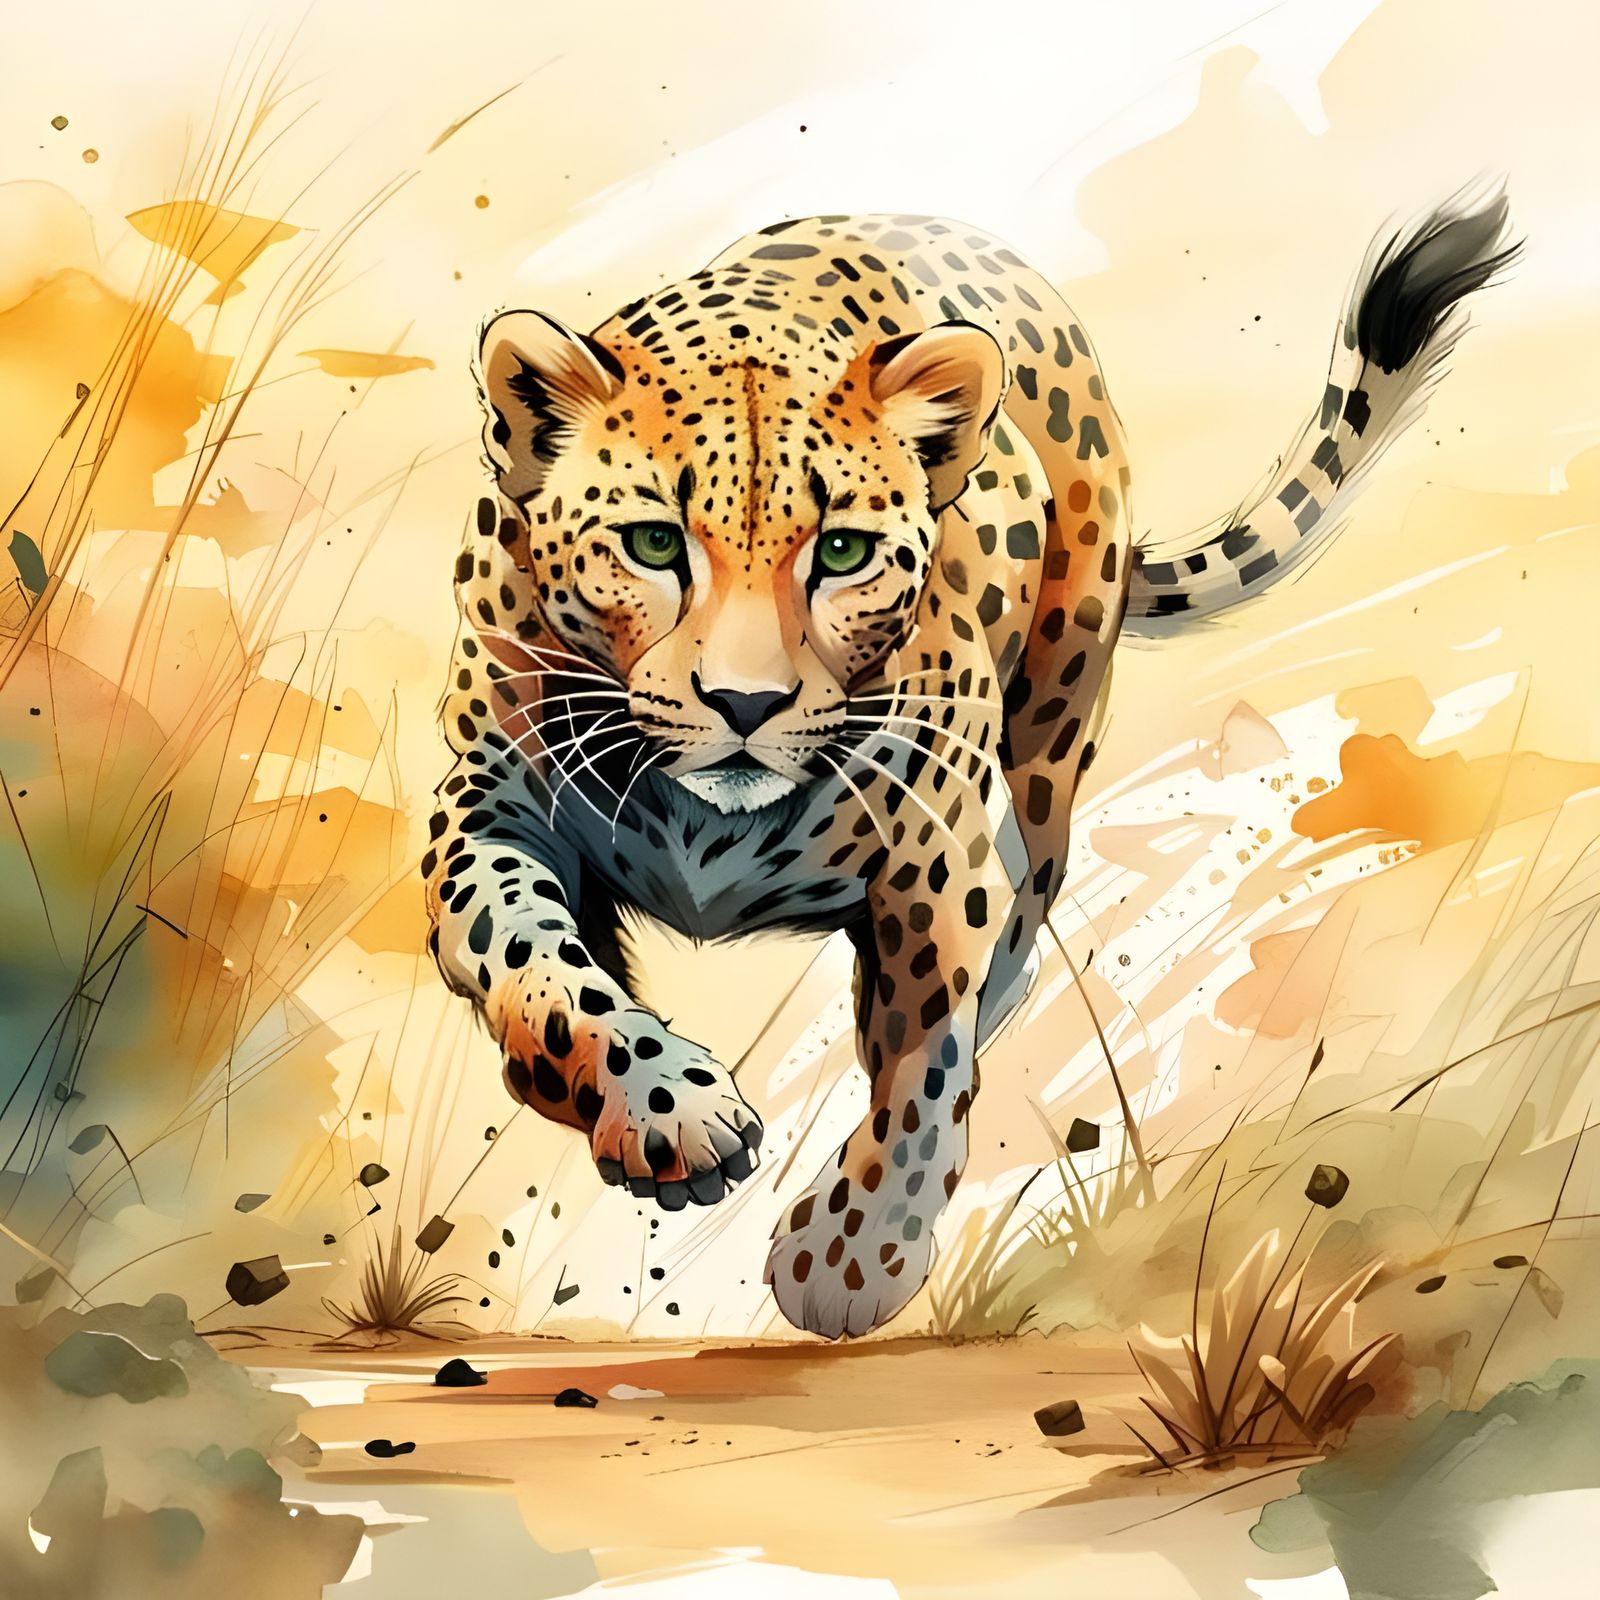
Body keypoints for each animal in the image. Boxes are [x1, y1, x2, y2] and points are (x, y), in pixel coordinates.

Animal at [423, 192, 1517, 1338]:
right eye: (650, 543)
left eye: (844, 553)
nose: (746, 704)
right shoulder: (488, 798)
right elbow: (527, 953)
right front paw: (663, 1108)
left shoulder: (932, 863)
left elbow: (922, 1071)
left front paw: (854, 1255)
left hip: (1052, 725)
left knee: (1019, 917)